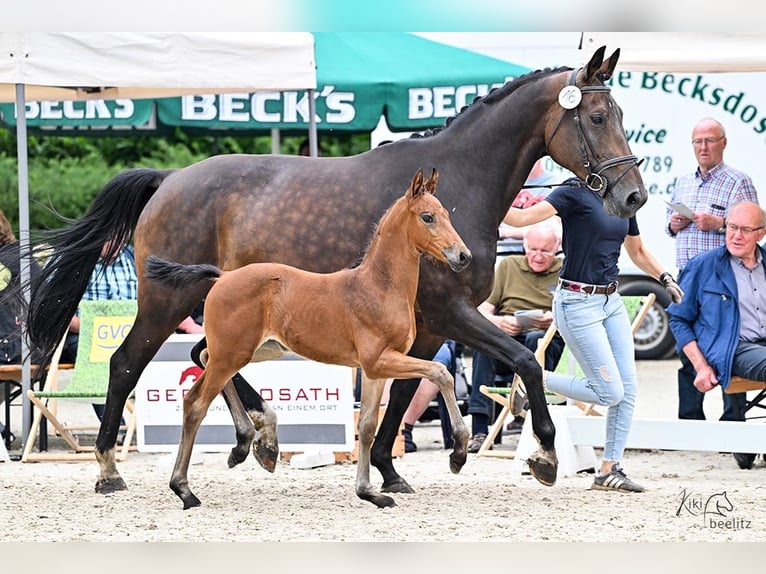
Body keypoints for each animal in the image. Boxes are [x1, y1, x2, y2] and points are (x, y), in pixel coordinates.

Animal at [144, 169, 474, 510]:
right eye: (427, 217)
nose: (463, 256)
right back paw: (185, 489)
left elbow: (367, 426)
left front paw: (369, 492)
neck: (379, 287)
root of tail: (222, 277)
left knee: (204, 358)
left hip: (256, 350)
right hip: (234, 353)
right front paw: (458, 455)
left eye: (447, 214)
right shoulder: (379, 360)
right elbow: (442, 373)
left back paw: (247, 445)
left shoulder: (375, 369)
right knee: (195, 403)